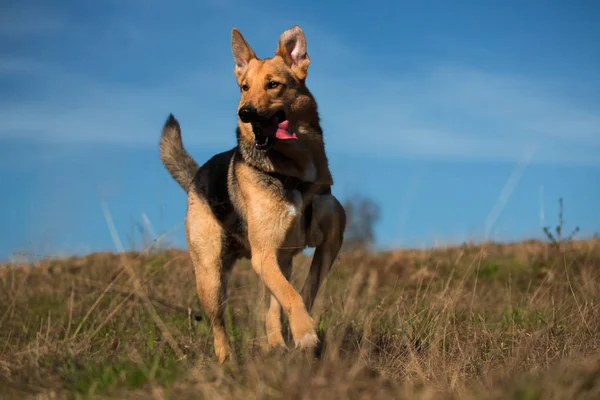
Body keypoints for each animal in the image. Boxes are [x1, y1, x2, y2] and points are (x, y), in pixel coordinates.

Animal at [159, 24, 346, 362]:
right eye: (244, 87)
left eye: (273, 84)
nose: (244, 113)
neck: (295, 173)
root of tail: (197, 176)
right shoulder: (264, 254)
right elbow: (290, 295)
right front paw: (305, 333)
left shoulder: (329, 243)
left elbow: (303, 290)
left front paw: (301, 330)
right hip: (210, 277)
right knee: (219, 325)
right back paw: (226, 361)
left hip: (275, 262)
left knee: (270, 307)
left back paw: (276, 343)